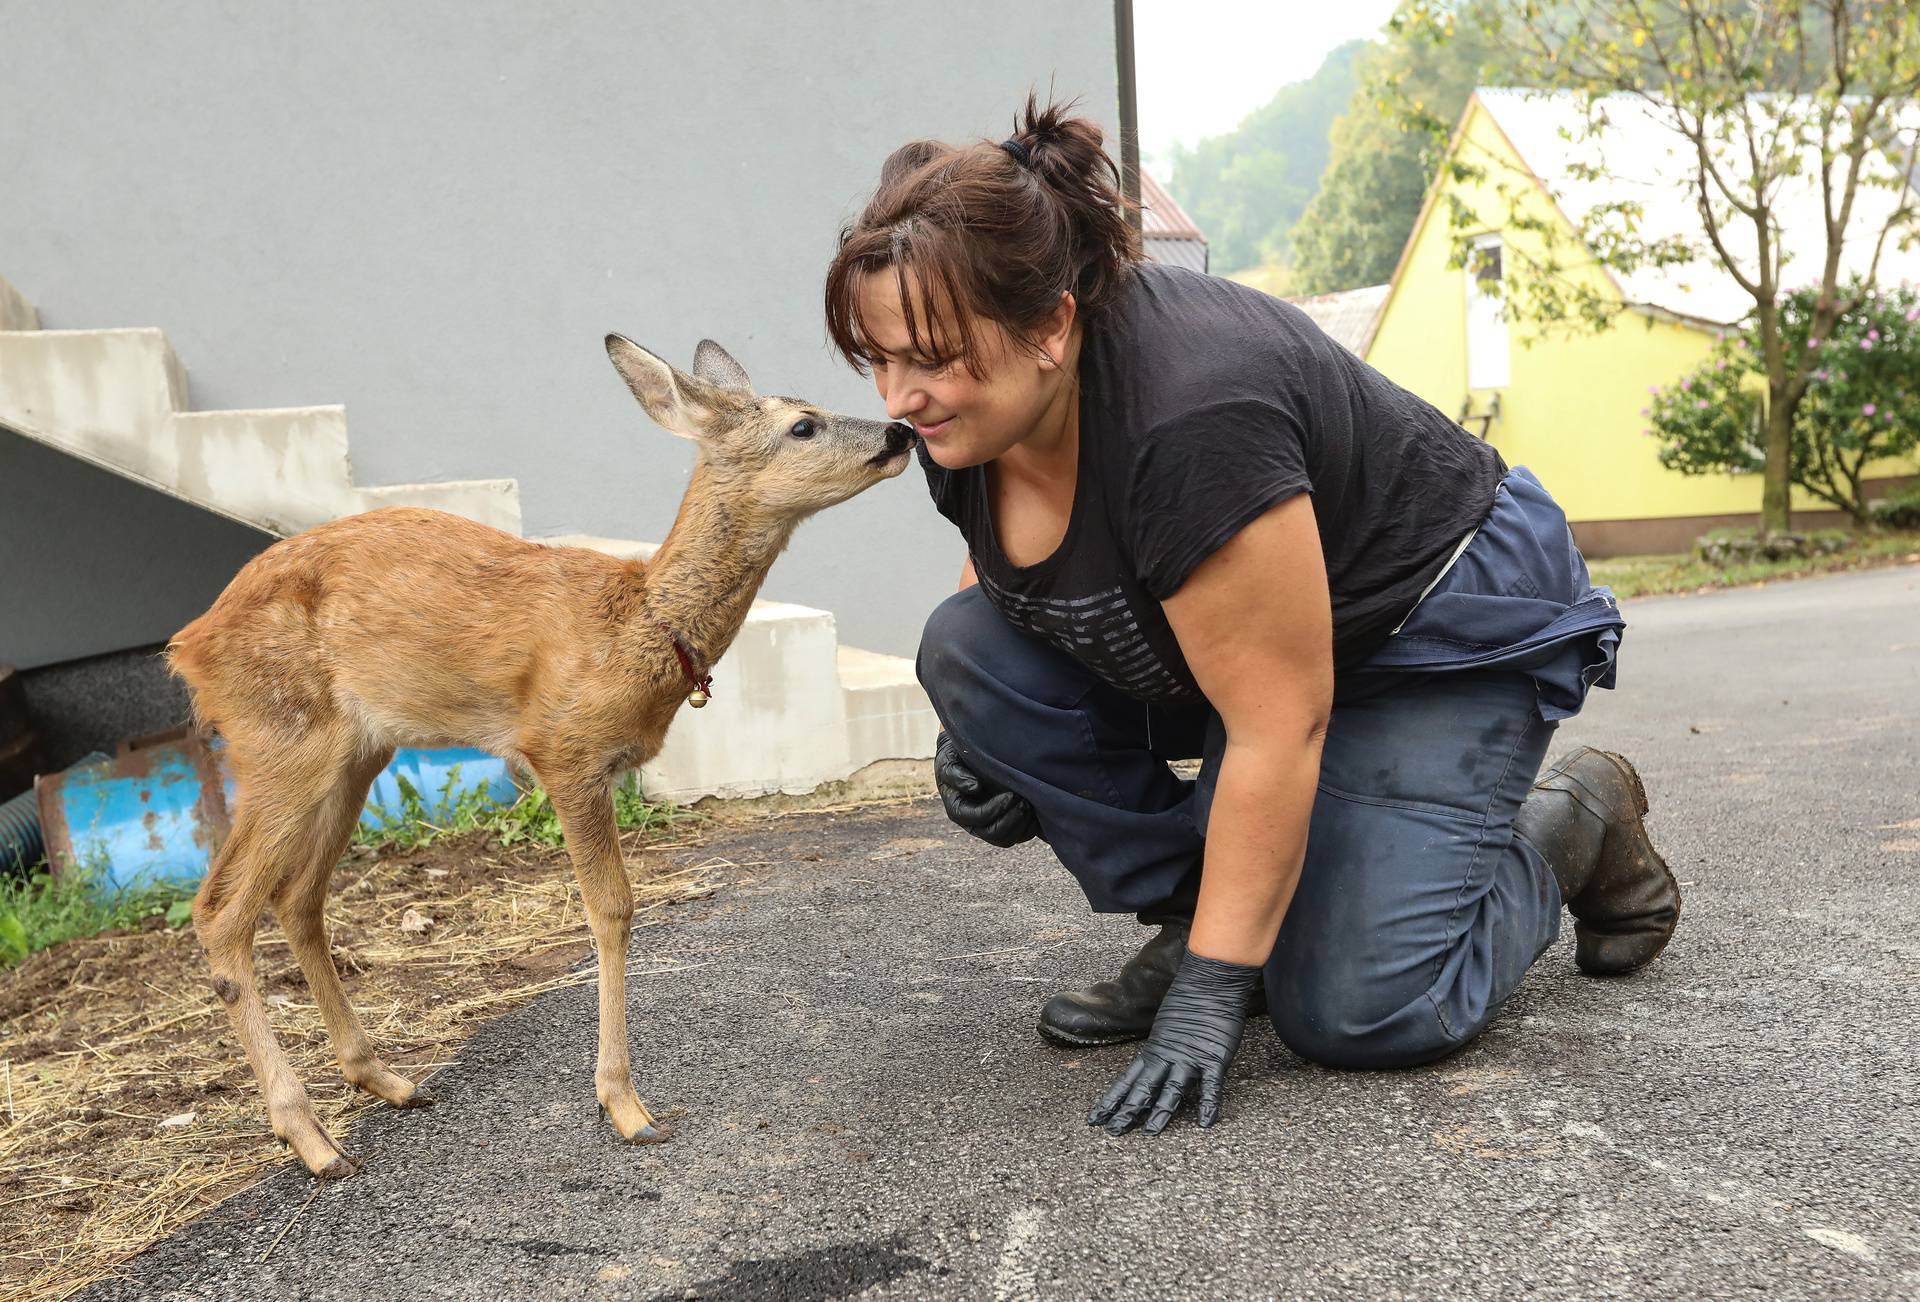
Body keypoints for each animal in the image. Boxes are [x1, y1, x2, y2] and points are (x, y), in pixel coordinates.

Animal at [167, 336, 913, 1182]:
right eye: (803, 425)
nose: (900, 434)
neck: (636, 625)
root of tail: (188, 644)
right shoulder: (565, 750)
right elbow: (613, 909)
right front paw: (626, 1108)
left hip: (355, 755)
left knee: (297, 898)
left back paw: (388, 1081)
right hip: (279, 737)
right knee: (220, 910)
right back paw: (313, 1139)